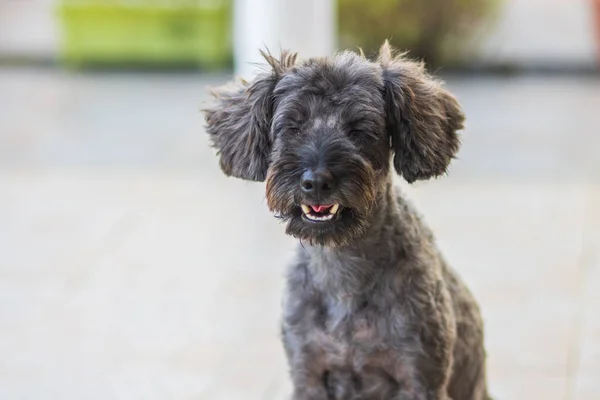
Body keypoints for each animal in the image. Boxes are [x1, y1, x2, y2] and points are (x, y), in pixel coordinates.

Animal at [204, 42, 490, 398]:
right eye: (292, 126)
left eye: (360, 130)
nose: (316, 181)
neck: (342, 269)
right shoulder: (309, 372)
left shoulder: (420, 378)